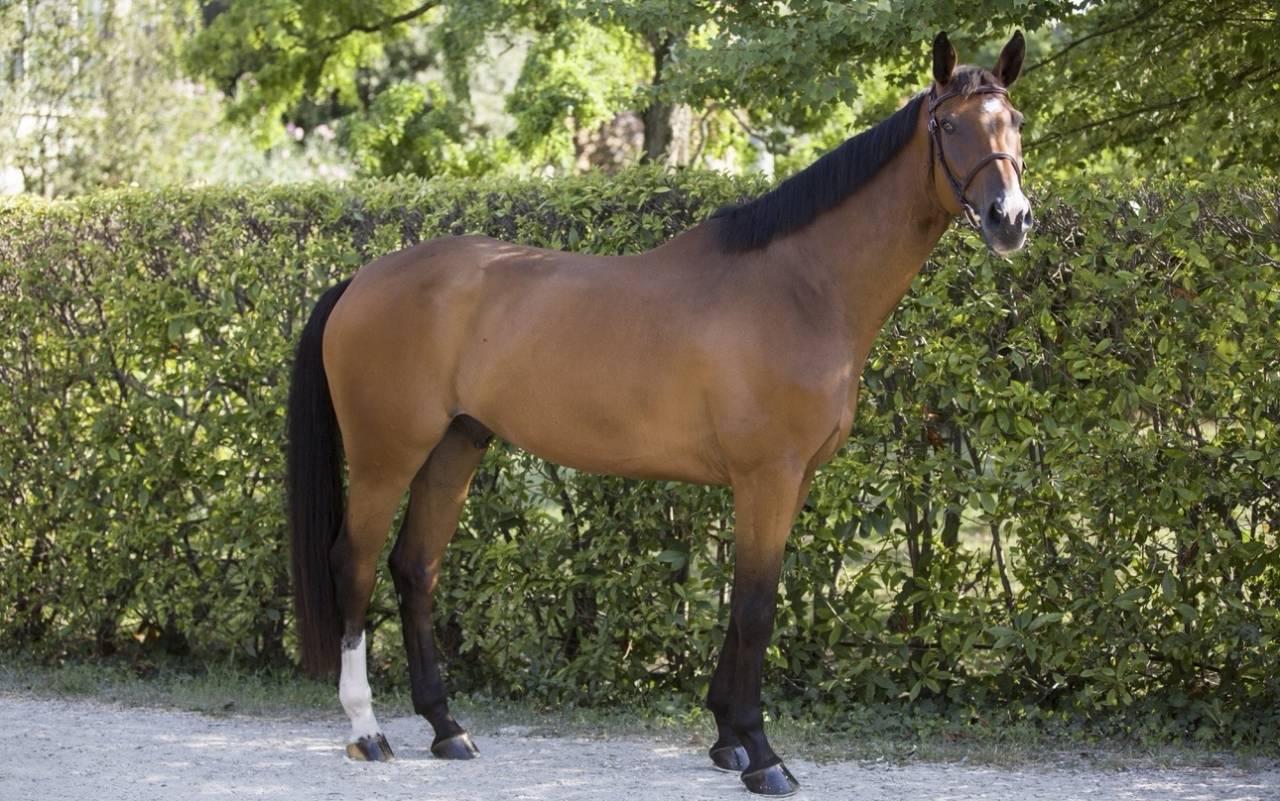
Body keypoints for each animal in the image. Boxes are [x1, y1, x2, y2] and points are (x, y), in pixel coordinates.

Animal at [286, 31, 1031, 797]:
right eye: (950, 126)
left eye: (1015, 122)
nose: (1011, 219)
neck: (801, 286)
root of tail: (361, 279)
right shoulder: (767, 476)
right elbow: (755, 609)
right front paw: (762, 754)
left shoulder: (788, 481)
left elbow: (742, 604)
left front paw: (728, 739)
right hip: (386, 454)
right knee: (354, 563)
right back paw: (366, 730)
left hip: (455, 446)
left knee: (415, 568)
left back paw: (445, 726)